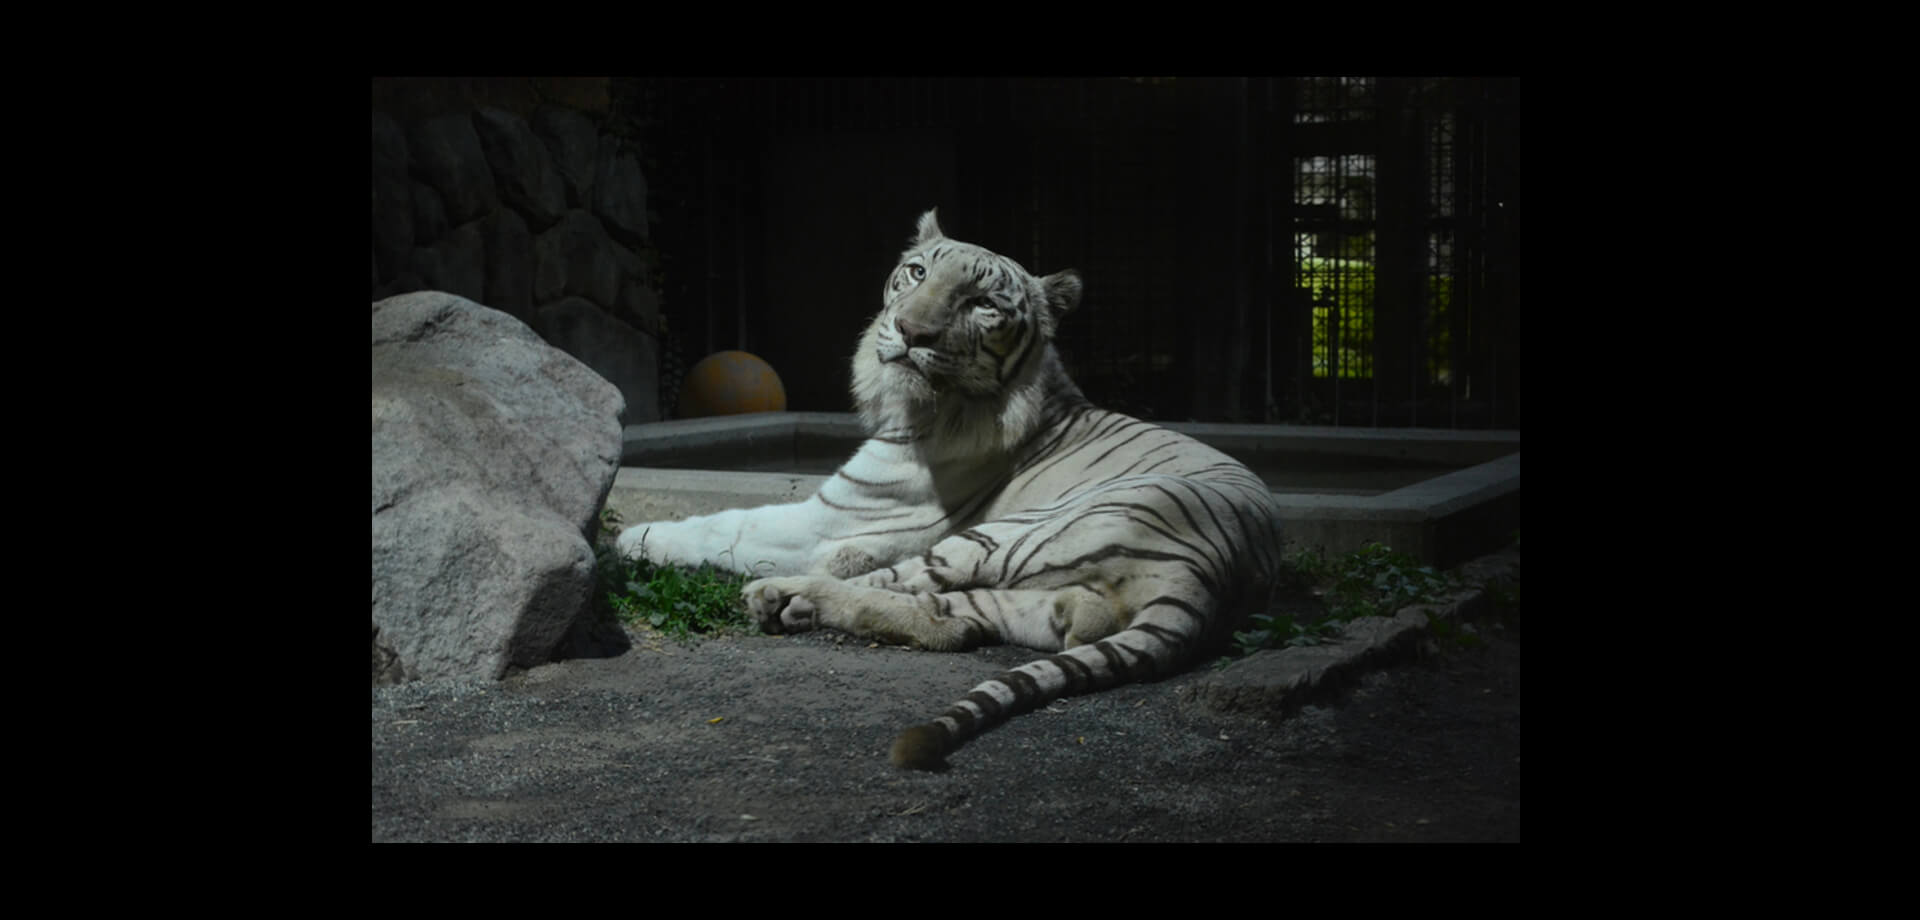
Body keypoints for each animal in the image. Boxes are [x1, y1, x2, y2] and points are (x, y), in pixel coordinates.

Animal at [614, 209, 1282, 772]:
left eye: (982, 303)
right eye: (916, 273)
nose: (910, 332)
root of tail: (1217, 574)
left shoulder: (833, 518)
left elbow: (725, 523)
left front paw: (631, 537)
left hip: (1012, 532)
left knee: (889, 583)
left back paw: (781, 595)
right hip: (1033, 592)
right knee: (955, 622)